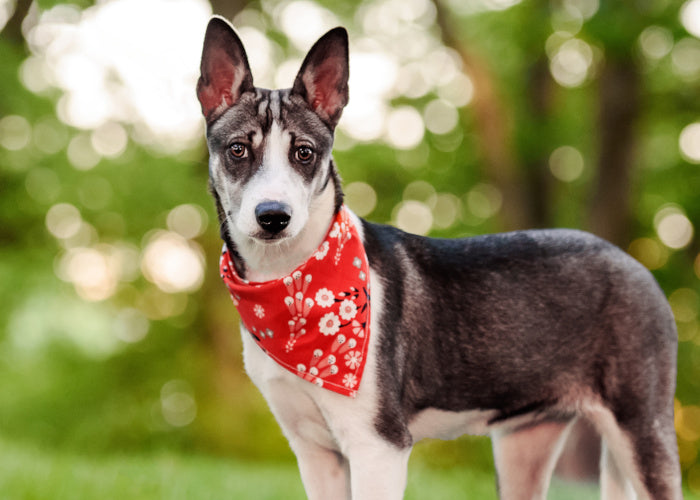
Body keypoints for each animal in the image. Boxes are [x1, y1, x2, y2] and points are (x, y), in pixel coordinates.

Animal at [197, 16, 684, 500]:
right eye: (238, 149)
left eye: (304, 153)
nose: (273, 216)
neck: (292, 280)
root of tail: (630, 260)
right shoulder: (314, 452)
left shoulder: (379, 445)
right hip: (524, 444)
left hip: (642, 428)